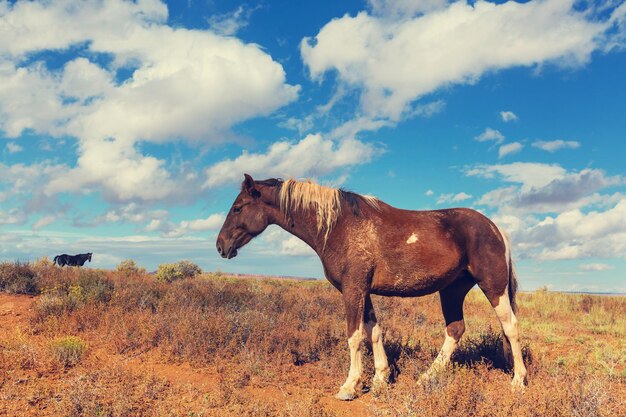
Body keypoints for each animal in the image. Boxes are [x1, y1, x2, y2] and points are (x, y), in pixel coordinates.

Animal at [217, 173, 524, 400]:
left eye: (237, 208)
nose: (221, 246)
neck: (338, 226)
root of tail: (496, 228)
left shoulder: (353, 290)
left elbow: (354, 336)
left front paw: (349, 386)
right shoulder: (363, 291)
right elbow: (373, 332)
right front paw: (380, 378)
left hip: (492, 287)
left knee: (510, 327)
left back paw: (518, 381)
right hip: (452, 290)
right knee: (455, 329)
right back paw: (426, 377)